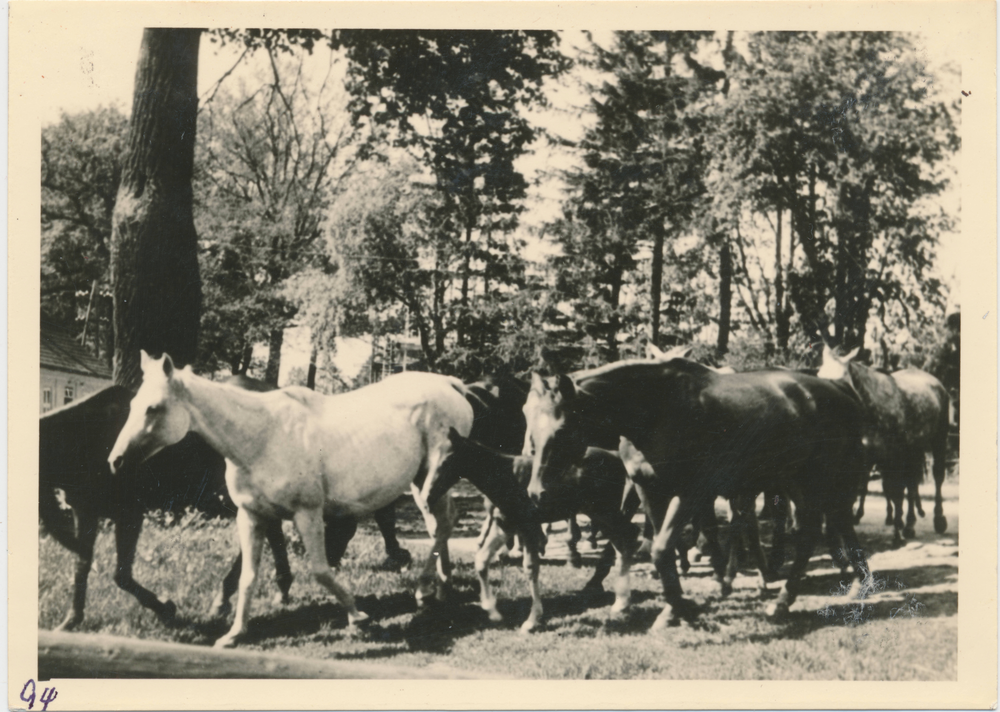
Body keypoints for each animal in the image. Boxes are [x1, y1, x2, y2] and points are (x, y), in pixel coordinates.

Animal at [107, 354, 474, 648]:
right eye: (132, 406)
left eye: (153, 408)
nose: (115, 461)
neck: (262, 437)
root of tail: (451, 385)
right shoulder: (251, 516)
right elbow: (248, 576)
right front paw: (234, 634)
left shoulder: (307, 514)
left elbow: (321, 571)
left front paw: (358, 617)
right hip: (424, 482)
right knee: (441, 526)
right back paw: (439, 589)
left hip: (430, 480)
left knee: (442, 526)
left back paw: (426, 590)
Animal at [520, 358, 872, 624]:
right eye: (528, 420)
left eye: (562, 429)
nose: (537, 492)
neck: (657, 411)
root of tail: (840, 390)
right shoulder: (650, 492)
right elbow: (660, 552)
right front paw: (671, 611)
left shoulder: (691, 493)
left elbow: (662, 549)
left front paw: (683, 610)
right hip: (799, 483)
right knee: (830, 525)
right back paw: (857, 584)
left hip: (818, 481)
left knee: (813, 533)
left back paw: (783, 601)